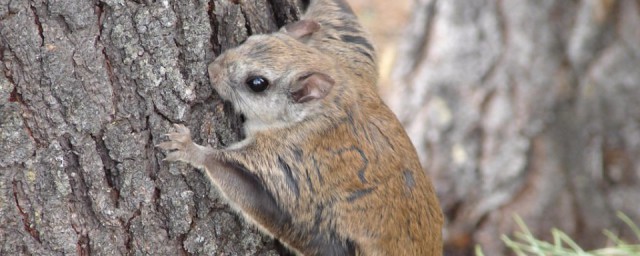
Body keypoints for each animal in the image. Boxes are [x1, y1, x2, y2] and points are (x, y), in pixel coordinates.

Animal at [158, 1, 442, 255]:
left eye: (257, 83)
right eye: (249, 40)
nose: (212, 69)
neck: (324, 106)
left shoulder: (289, 157)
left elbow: (238, 178)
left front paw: (189, 148)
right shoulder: (348, 52)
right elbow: (343, 15)